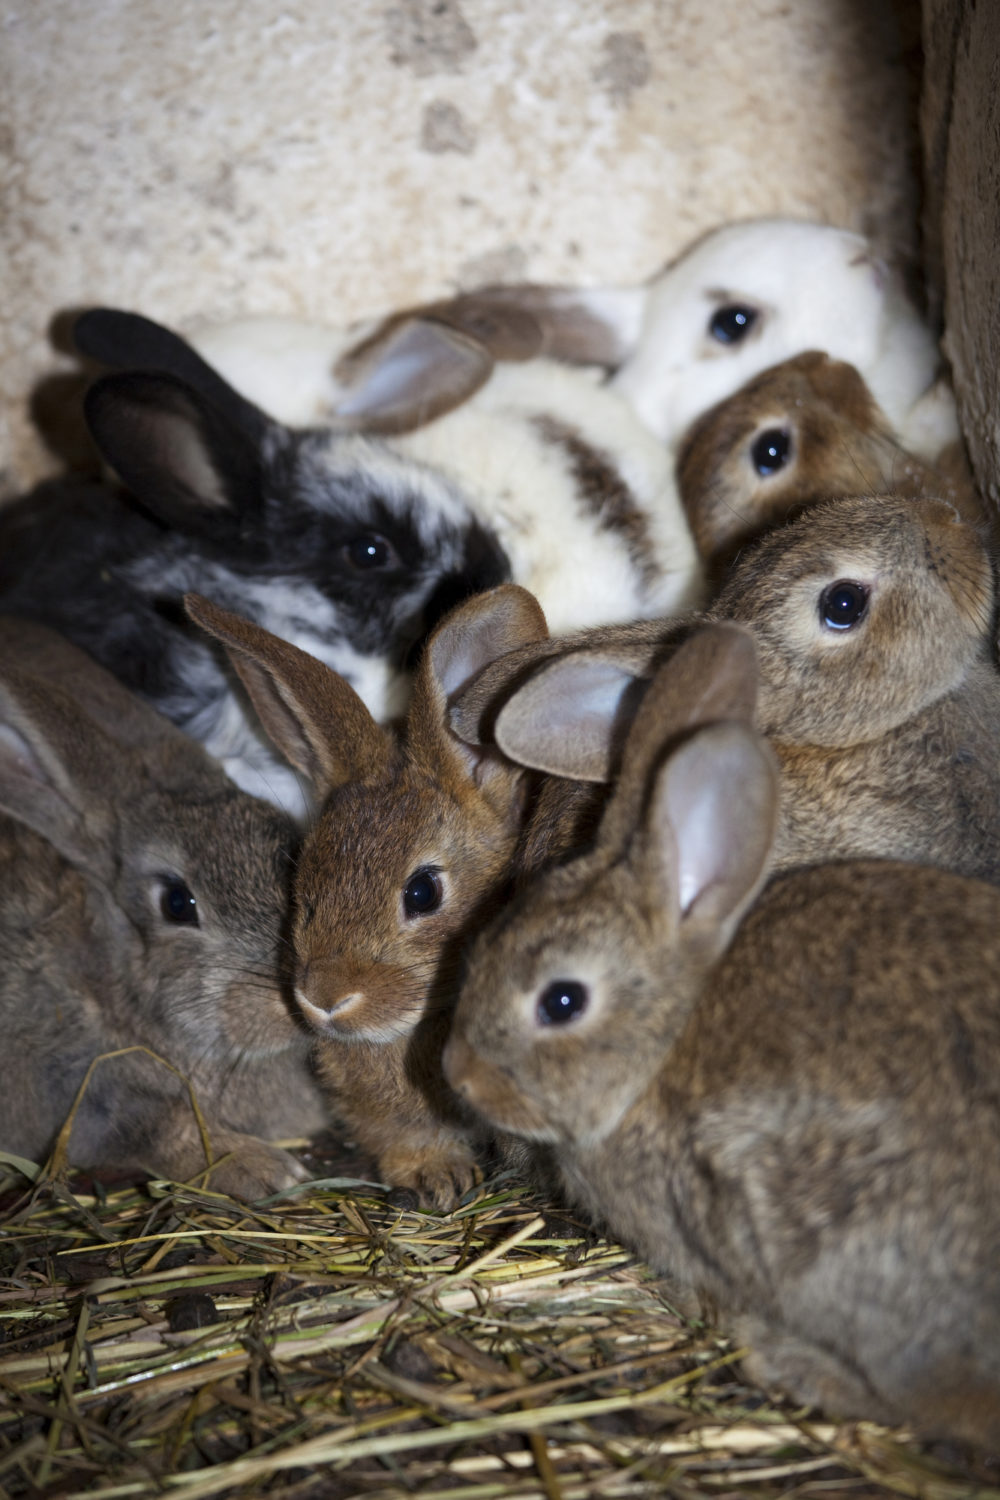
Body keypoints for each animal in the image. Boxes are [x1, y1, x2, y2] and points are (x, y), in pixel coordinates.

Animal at [0, 616, 329, 1200]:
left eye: (290, 849)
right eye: (177, 903)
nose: (301, 997)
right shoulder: (71, 1083)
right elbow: (161, 1123)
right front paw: (266, 1169)